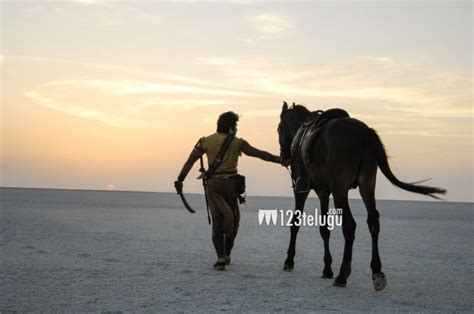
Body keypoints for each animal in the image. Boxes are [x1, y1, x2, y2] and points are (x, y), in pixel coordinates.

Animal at [276, 102, 446, 290]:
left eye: (279, 128)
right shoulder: (323, 192)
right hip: (367, 184)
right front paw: (327, 268)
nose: (284, 157)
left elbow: (295, 223)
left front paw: (289, 260)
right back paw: (377, 272)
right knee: (373, 221)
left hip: (340, 190)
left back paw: (343, 275)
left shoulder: (302, 189)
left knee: (350, 226)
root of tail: (364, 133)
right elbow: (324, 229)